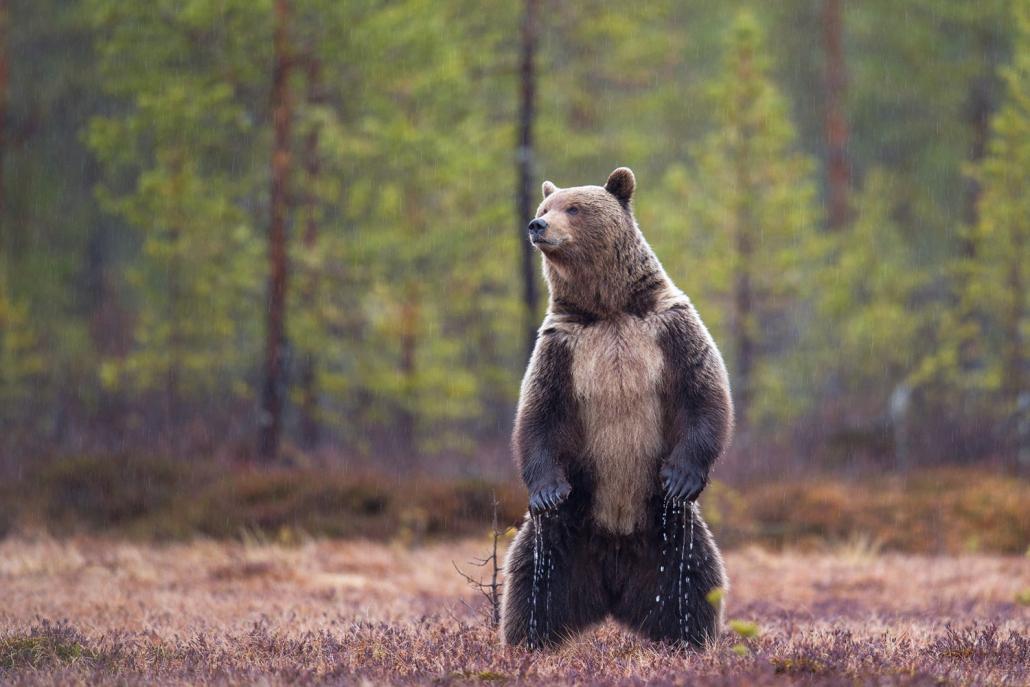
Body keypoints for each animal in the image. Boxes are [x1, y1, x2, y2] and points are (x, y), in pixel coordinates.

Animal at [498, 166, 733, 650]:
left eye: (574, 207)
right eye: (544, 206)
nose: (537, 226)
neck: (608, 309)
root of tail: (613, 581)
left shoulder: (668, 327)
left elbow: (703, 392)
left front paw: (682, 476)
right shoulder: (562, 347)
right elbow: (538, 414)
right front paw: (546, 490)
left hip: (670, 534)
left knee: (694, 586)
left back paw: (691, 639)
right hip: (564, 535)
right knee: (530, 585)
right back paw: (527, 641)